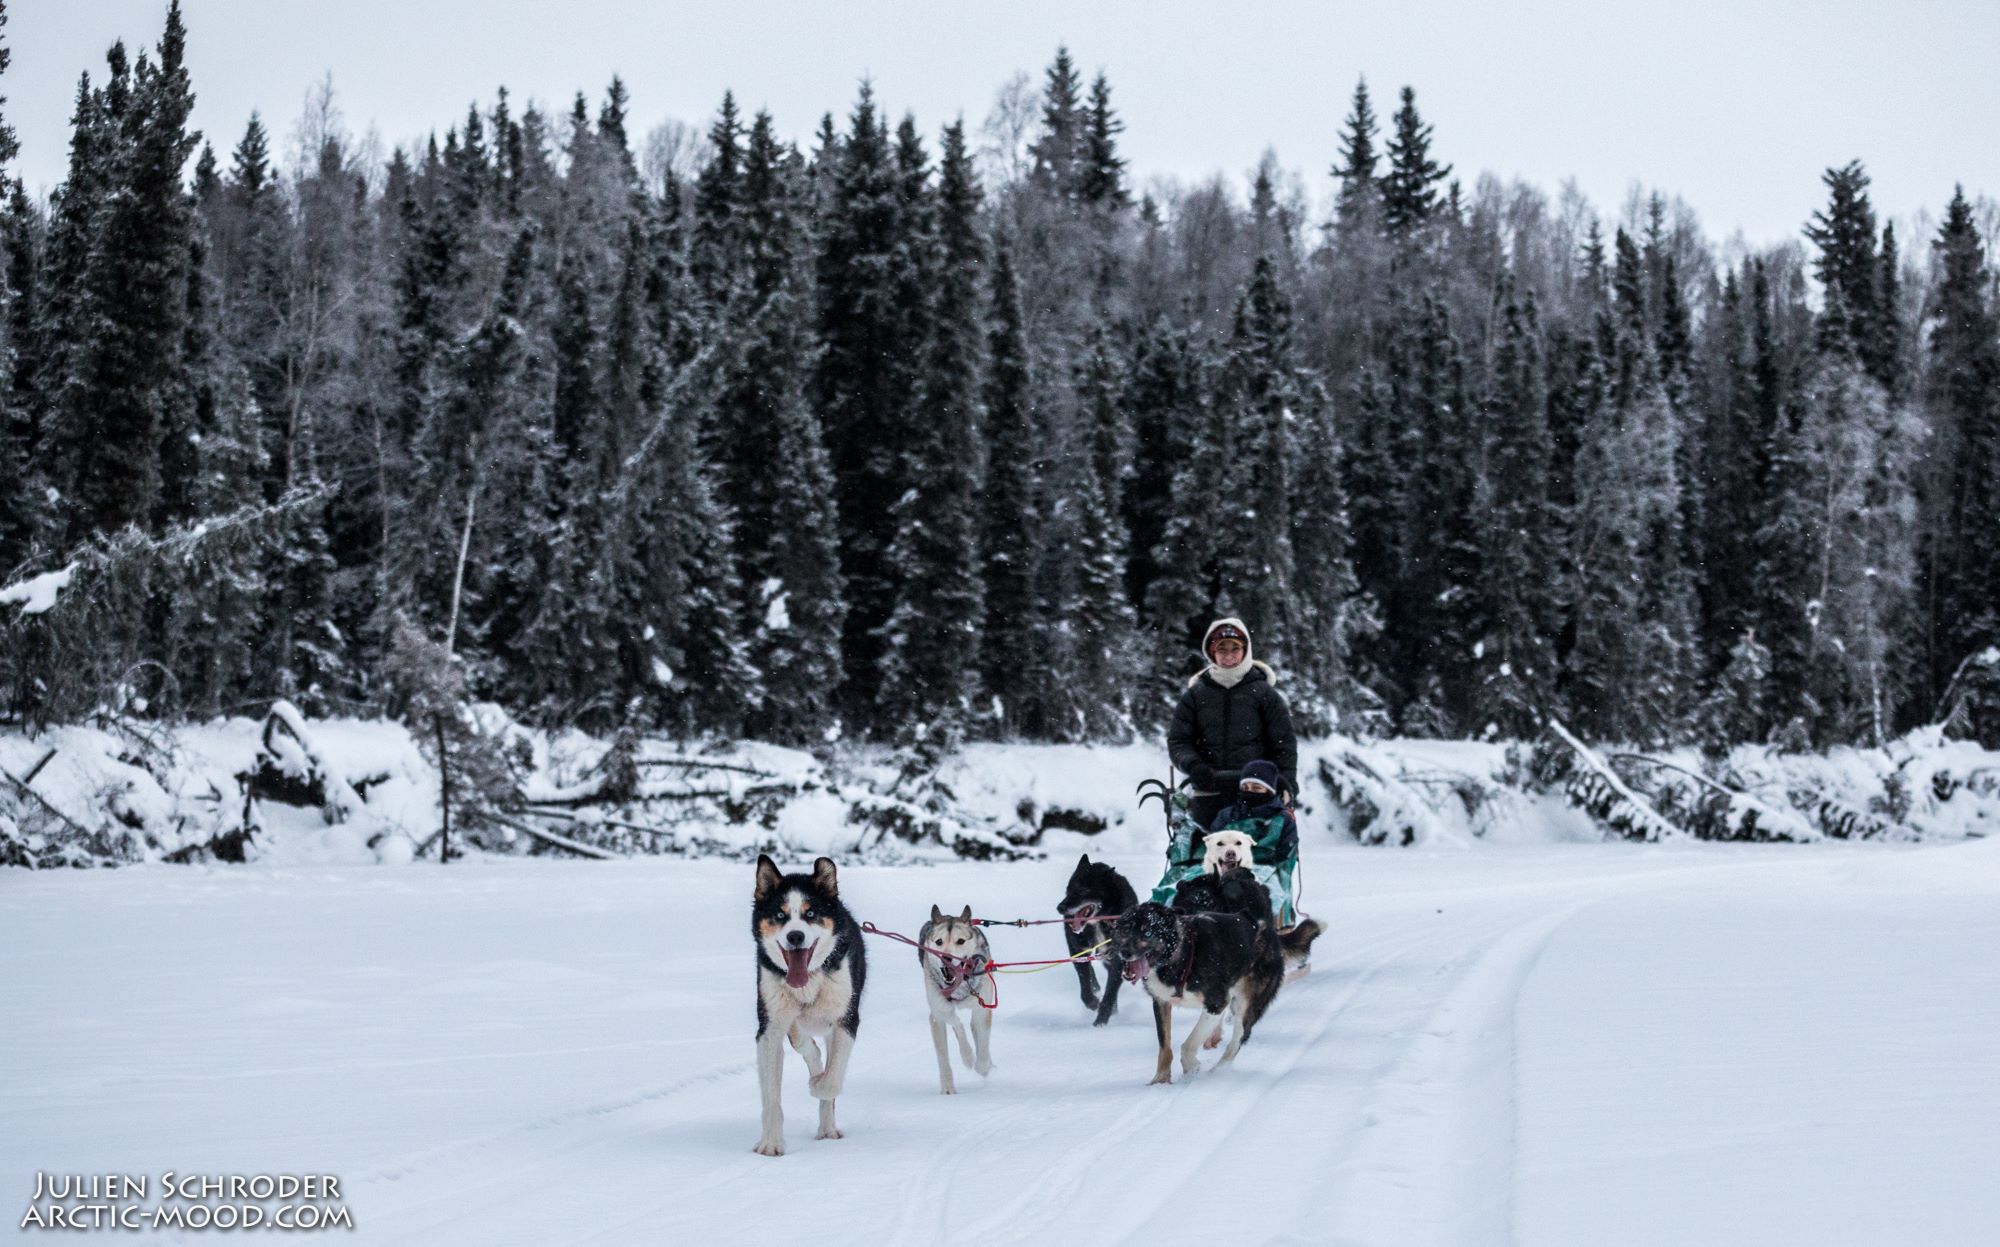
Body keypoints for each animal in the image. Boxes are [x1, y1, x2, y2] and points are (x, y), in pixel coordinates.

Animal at [1056, 855, 1136, 1023]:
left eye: (1083, 890)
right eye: (1068, 888)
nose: (1060, 908)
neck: (1099, 922)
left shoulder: (1118, 959)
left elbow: (1110, 992)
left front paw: (1101, 1022)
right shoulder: (1078, 951)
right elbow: (1085, 987)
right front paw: (1093, 1003)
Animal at [1112, 899, 1280, 1087]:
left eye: (1147, 933)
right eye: (1125, 930)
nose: (1125, 952)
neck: (1181, 955)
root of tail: (1258, 923)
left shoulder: (1216, 1003)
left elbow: (1188, 1045)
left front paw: (1191, 1068)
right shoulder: (1162, 1002)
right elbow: (1164, 1047)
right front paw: (1160, 1080)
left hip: (1246, 1004)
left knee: (1239, 1037)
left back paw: (1218, 1071)